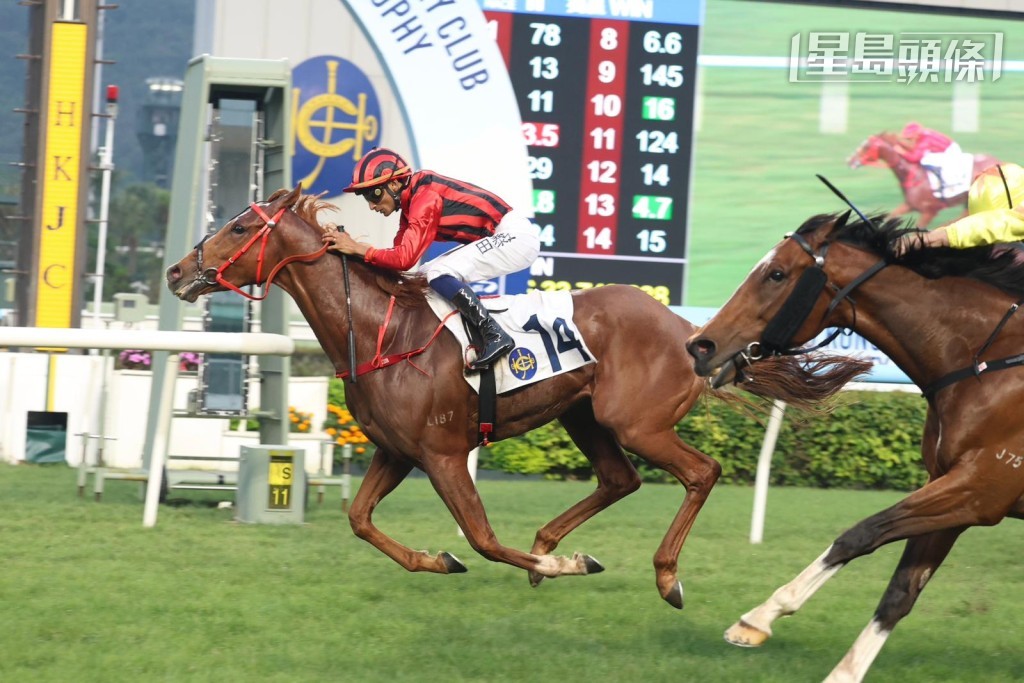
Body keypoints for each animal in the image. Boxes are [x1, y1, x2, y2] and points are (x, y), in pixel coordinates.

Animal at [165, 184, 815, 608]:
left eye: (240, 228)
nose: (175, 272)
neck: (383, 334)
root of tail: (688, 329)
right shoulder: (396, 452)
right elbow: (359, 520)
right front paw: (440, 559)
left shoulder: (444, 455)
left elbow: (483, 539)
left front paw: (561, 563)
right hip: (585, 417)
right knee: (619, 479)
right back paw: (553, 544)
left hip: (637, 423)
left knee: (701, 472)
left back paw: (662, 576)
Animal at [685, 210, 1024, 682]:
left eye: (776, 274)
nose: (700, 344)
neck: (985, 363)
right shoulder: (955, 487)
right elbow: (901, 591)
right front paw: (843, 673)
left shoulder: (983, 485)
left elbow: (861, 533)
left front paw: (759, 617)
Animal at [848, 132, 1000, 229]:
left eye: (866, 146)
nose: (849, 160)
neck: (914, 174)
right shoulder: (909, 205)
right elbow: (890, 217)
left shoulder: (930, 211)